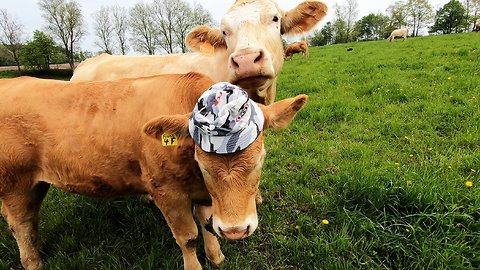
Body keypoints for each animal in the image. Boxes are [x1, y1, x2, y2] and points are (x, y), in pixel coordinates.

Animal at [0, 73, 308, 268]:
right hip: (15, 182)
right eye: (204, 165)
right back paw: (33, 262)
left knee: (30, 220)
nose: (235, 230)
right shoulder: (166, 190)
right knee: (21, 224)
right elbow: (188, 237)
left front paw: (216, 255)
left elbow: (206, 222)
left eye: (260, 160)